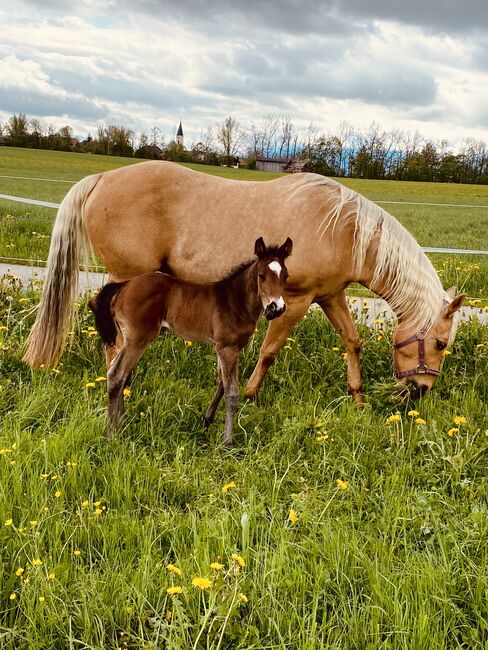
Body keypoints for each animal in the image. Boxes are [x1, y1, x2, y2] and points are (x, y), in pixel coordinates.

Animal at [23, 159, 466, 398]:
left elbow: (351, 341)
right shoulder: (296, 300)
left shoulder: (330, 296)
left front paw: (356, 396)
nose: (420, 391)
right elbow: (270, 350)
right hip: (126, 278)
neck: (343, 227)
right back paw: (122, 384)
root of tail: (101, 178)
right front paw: (251, 395)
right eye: (440, 343)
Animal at [89, 237, 292, 446]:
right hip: (138, 339)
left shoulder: (221, 347)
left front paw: (206, 422)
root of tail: (124, 286)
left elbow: (221, 383)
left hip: (126, 338)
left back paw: (122, 424)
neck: (235, 301)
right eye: (261, 275)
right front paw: (228, 442)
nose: (277, 308)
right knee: (116, 374)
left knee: (119, 372)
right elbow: (231, 391)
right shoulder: (228, 348)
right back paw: (112, 434)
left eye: (286, 276)